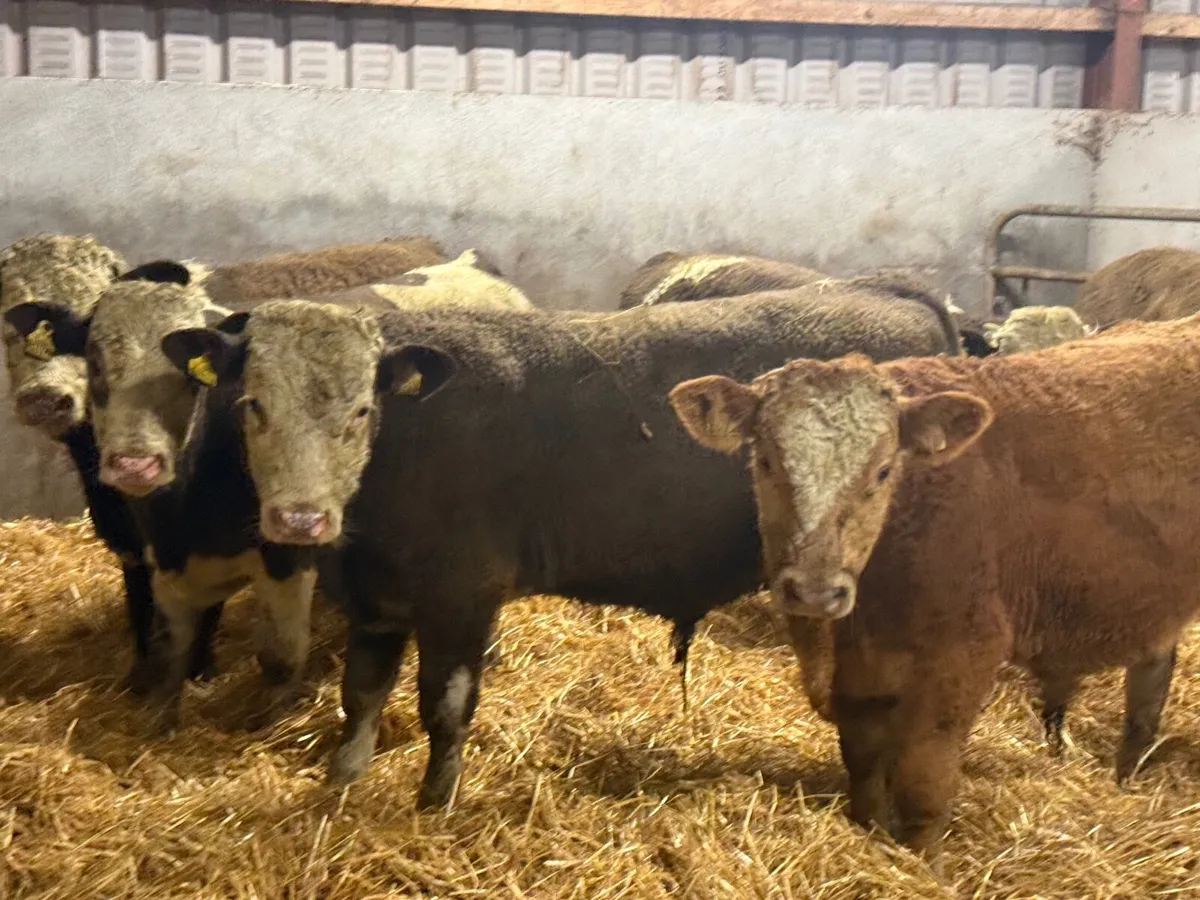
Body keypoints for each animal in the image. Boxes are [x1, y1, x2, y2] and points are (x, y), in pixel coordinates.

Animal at [157, 278, 963, 806]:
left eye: (362, 411)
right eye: (252, 404)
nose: (300, 521)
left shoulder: (461, 593)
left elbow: (443, 706)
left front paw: (433, 803)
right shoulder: (376, 599)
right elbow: (361, 696)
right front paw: (340, 784)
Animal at [667, 317, 1200, 868]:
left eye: (884, 471)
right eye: (767, 462)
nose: (815, 591)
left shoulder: (963, 657)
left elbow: (922, 781)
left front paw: (924, 867)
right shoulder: (858, 682)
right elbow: (864, 769)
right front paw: (870, 835)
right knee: (1150, 682)